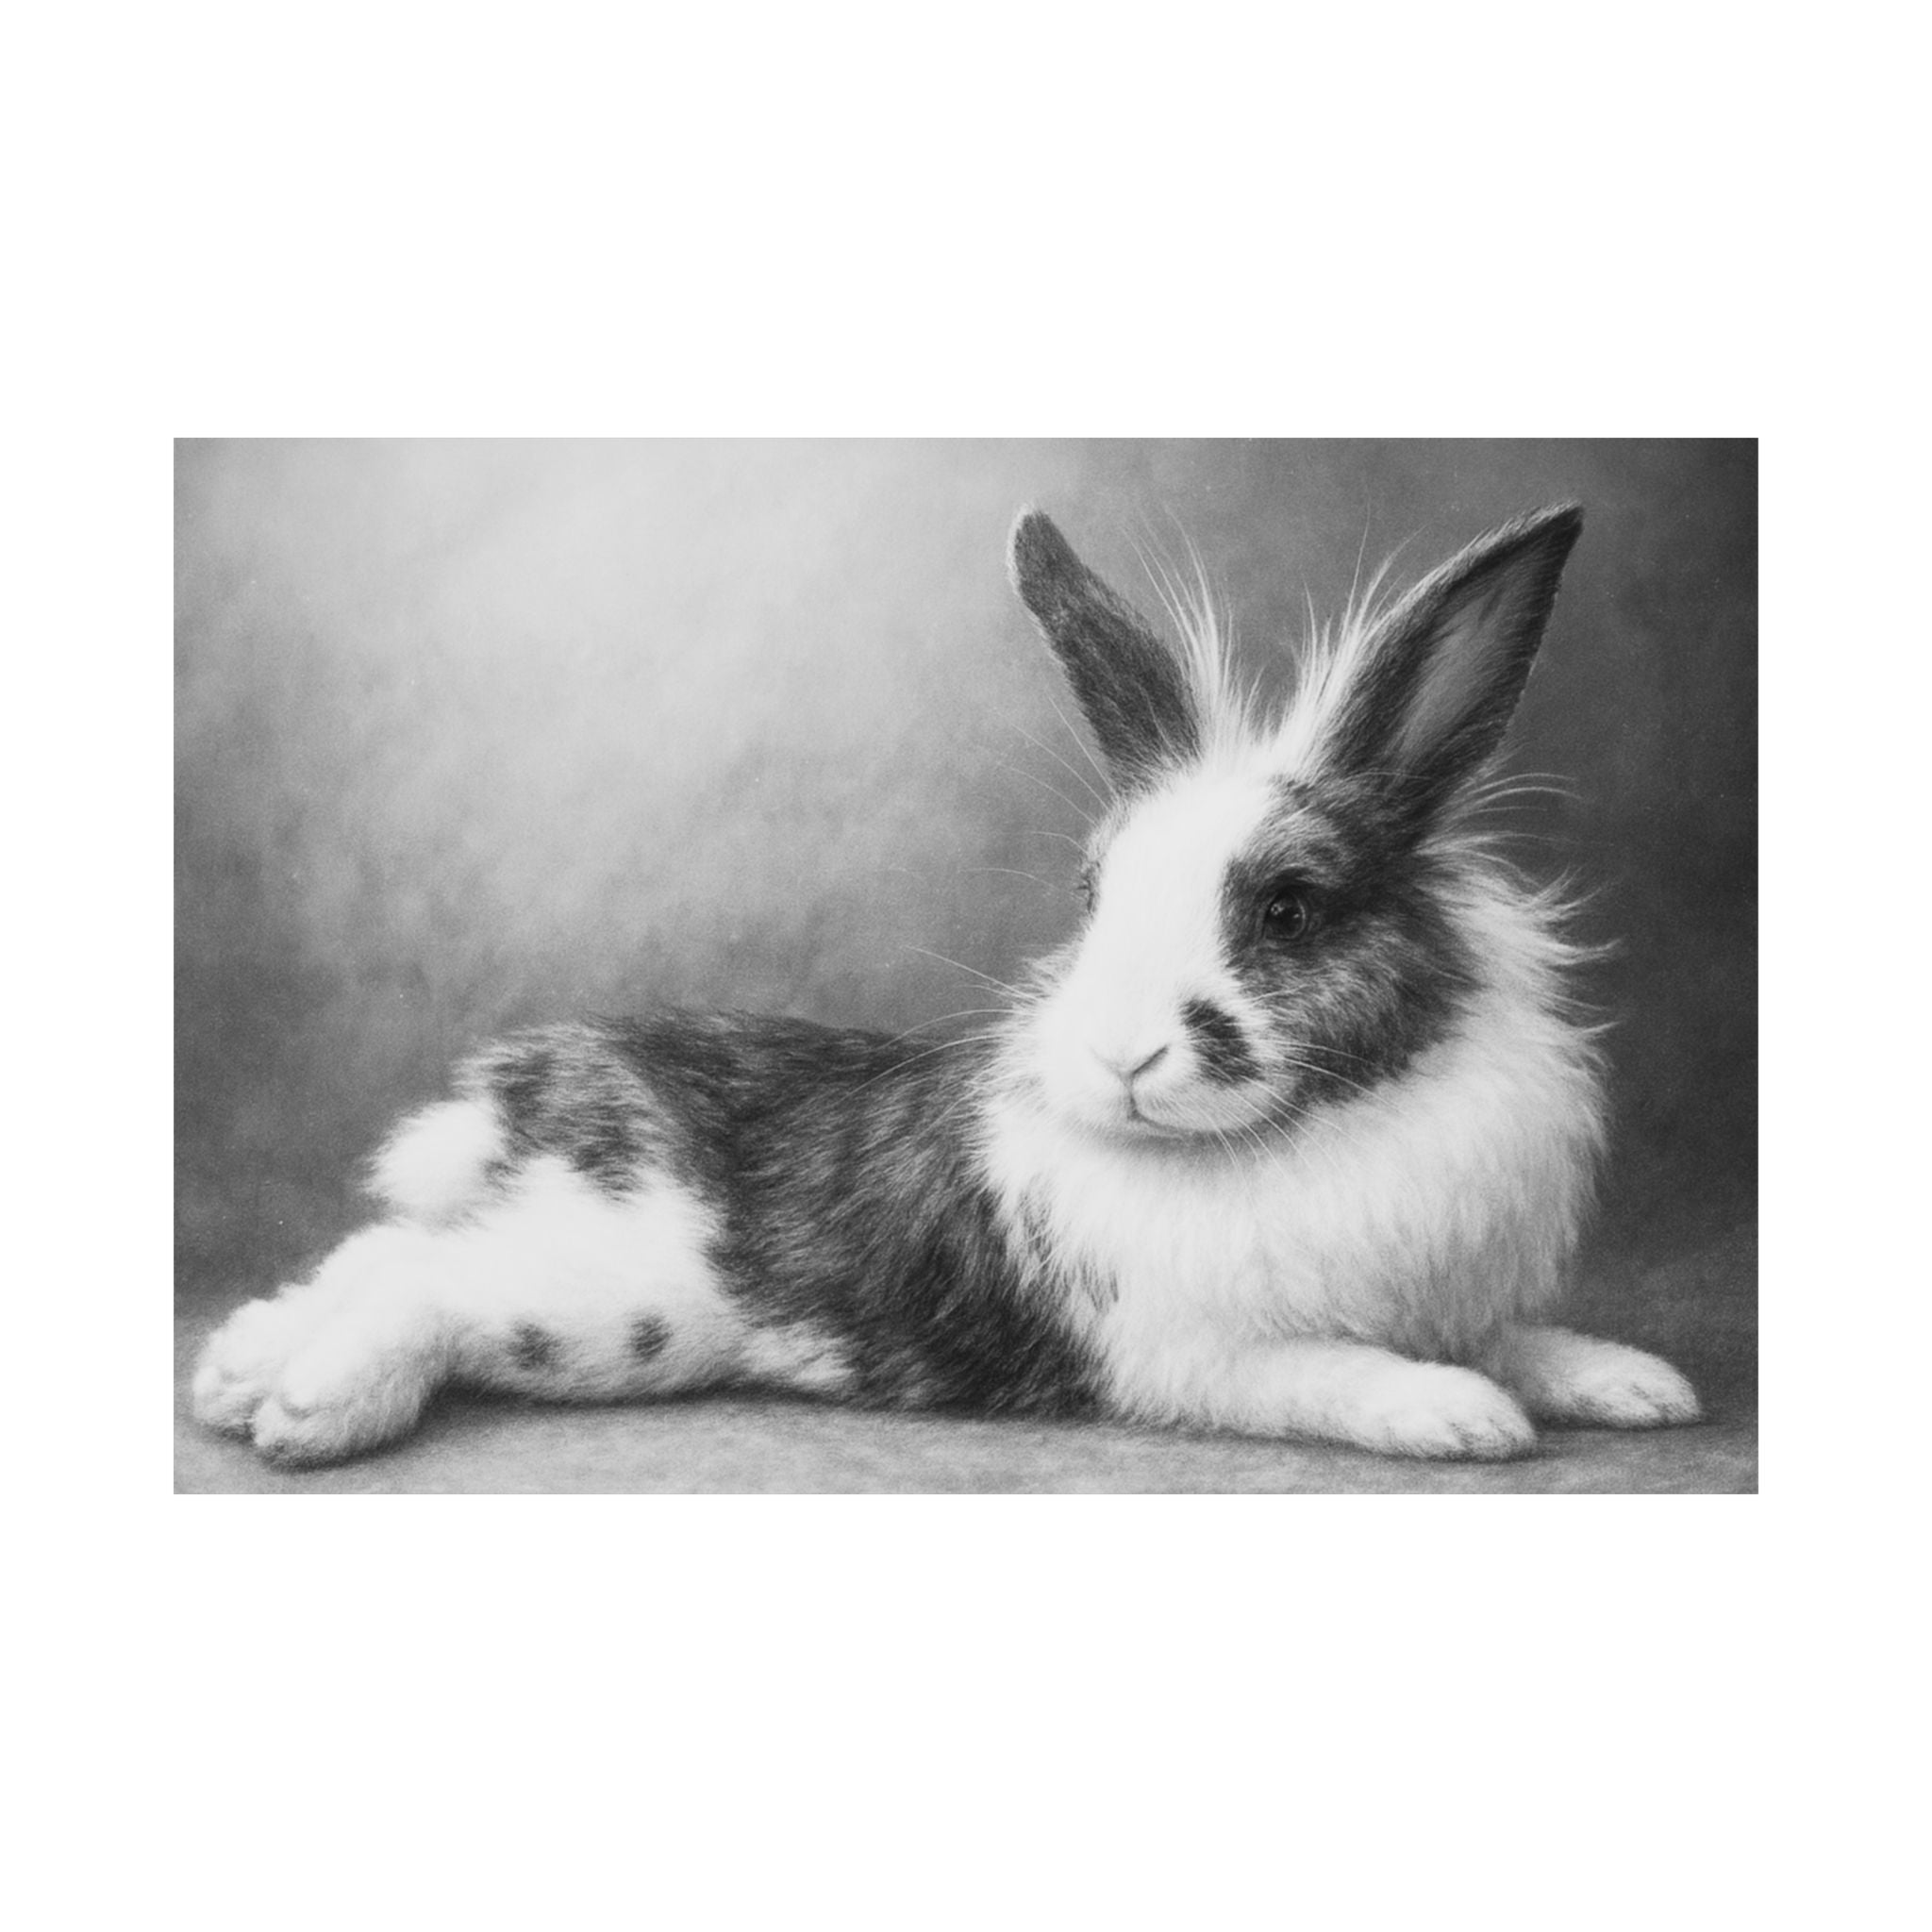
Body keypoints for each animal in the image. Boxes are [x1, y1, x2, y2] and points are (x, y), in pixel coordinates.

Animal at [191, 502, 1701, 1468]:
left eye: (1289, 908)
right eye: (1092, 896)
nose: (1123, 1058)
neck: (1315, 1134)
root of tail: (547, 1085)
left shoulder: (1457, 1294)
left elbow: (1521, 1336)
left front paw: (1639, 1385)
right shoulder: (1198, 1354)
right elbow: (1338, 1373)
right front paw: (1459, 1418)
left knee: (390, 1252)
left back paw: (236, 1370)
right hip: (613, 1308)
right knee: (426, 1284)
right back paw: (305, 1408)